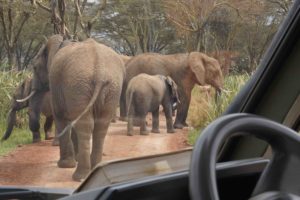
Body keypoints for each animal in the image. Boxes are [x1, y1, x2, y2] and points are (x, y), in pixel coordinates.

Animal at [20, 34, 125, 181]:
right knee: (101, 125)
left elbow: (61, 117)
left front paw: (65, 165)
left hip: (78, 85)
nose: (36, 139)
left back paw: (79, 176)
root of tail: (99, 71)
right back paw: (94, 169)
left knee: (84, 125)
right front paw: (75, 159)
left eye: (34, 67)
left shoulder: (56, 83)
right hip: (111, 88)